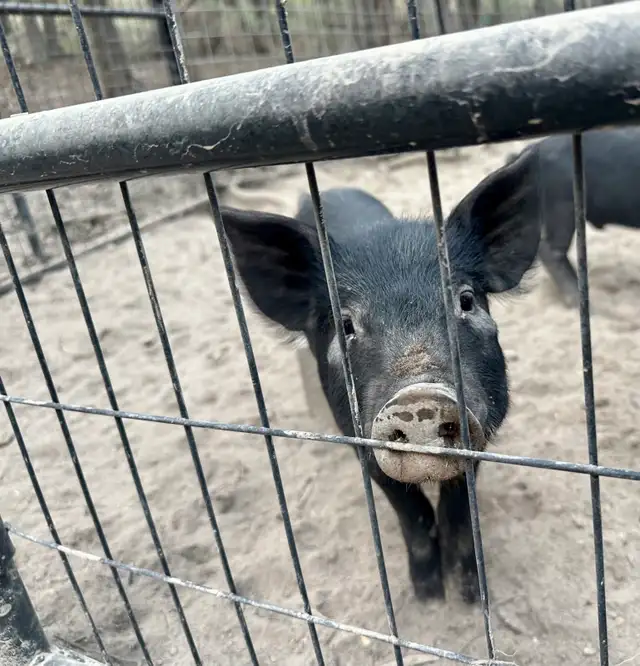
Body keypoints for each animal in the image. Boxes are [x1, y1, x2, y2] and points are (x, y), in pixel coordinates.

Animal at [220, 152, 541, 603]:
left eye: (466, 300)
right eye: (346, 325)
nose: (420, 397)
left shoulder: (483, 434)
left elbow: (460, 511)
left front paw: (467, 596)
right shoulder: (358, 439)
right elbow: (412, 512)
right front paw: (427, 595)